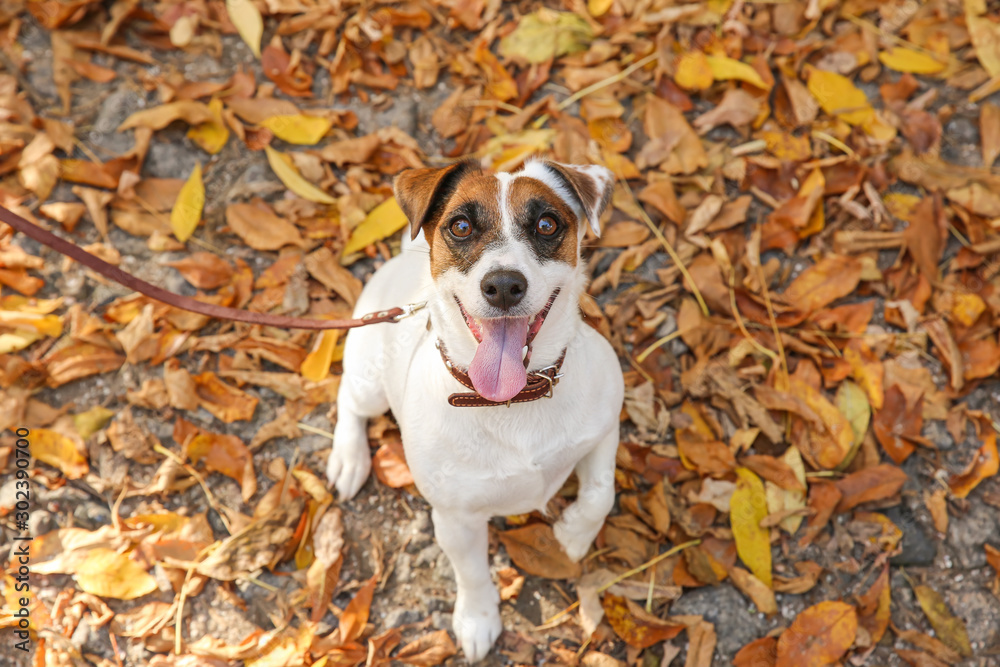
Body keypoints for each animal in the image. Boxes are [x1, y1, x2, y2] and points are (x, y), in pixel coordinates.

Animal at [326, 159, 624, 660]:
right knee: (348, 397)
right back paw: (349, 459)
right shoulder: (455, 518)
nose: (503, 285)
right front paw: (478, 619)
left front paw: (572, 536)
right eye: (460, 226)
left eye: (547, 224)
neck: (513, 400)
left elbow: (601, 493)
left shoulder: (605, 427)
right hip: (370, 381)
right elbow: (472, 573)